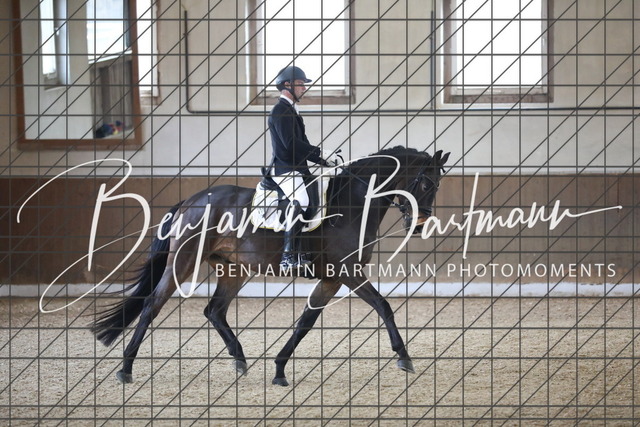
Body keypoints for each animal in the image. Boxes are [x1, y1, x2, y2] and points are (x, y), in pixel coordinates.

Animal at [91, 146, 450, 387]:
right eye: (425, 184)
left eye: (436, 186)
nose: (420, 225)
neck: (352, 204)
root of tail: (190, 201)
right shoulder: (347, 273)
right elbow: (383, 306)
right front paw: (404, 358)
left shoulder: (331, 280)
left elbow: (305, 323)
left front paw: (278, 370)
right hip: (184, 261)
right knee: (152, 305)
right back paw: (125, 369)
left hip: (234, 269)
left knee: (214, 311)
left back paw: (239, 361)